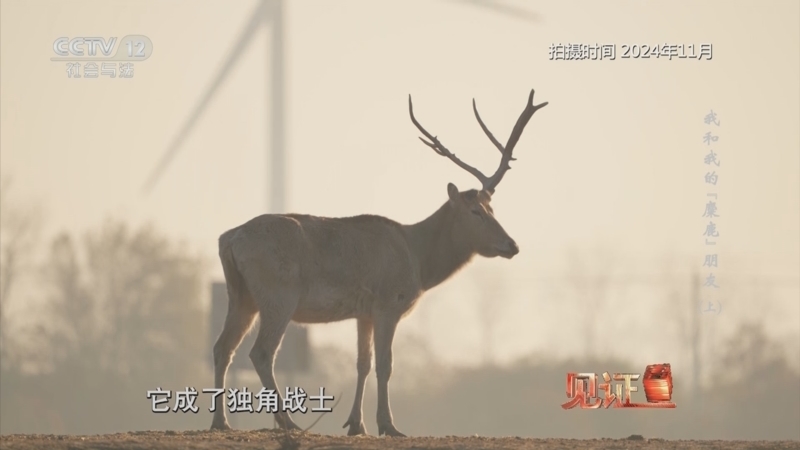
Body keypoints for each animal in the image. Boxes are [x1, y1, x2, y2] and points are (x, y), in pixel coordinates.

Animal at [210, 89, 548, 437]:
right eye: (475, 211)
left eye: (492, 208)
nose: (512, 245)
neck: (419, 262)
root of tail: (229, 239)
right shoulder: (389, 302)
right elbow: (386, 364)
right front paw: (388, 424)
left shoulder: (364, 312)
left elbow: (363, 363)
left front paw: (356, 424)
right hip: (278, 294)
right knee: (261, 352)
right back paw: (288, 421)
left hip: (241, 295)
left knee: (222, 348)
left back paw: (221, 421)